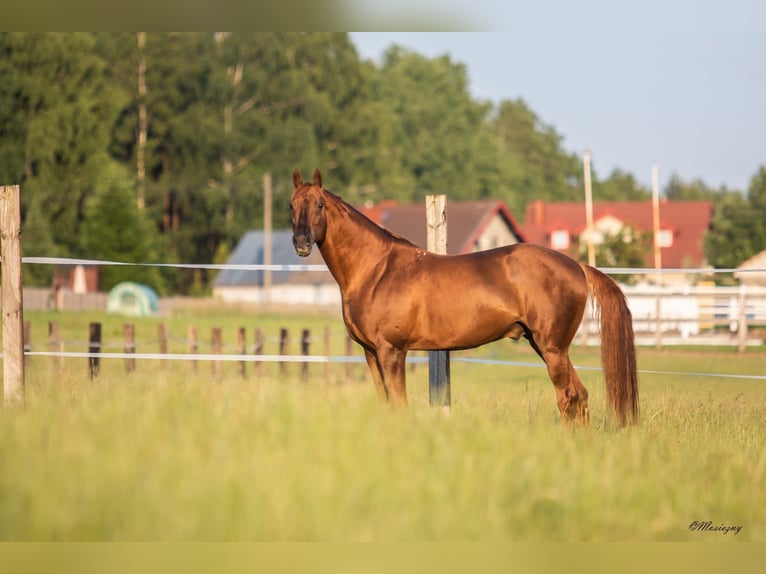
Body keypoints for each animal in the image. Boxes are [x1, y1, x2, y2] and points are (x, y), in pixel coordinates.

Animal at [292, 169, 640, 426]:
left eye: (319, 205)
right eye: (291, 206)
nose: (301, 242)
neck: (377, 269)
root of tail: (577, 266)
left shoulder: (392, 351)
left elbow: (400, 405)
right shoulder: (370, 352)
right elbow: (386, 404)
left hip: (552, 348)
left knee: (568, 397)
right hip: (548, 347)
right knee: (579, 397)